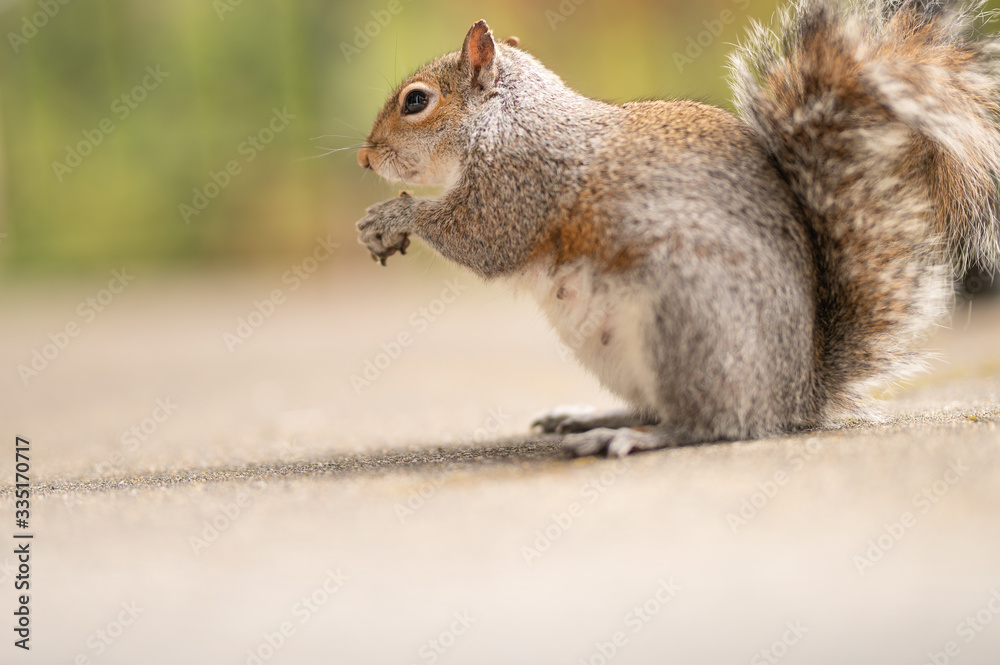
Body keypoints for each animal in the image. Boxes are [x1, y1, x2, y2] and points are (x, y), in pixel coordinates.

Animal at [355, 0, 1000, 457]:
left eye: (416, 102)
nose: (364, 158)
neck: (507, 120)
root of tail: (795, 395)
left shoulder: (520, 185)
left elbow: (482, 239)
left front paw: (392, 216)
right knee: (655, 406)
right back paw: (592, 416)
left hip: (687, 311)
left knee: (709, 424)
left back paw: (629, 437)